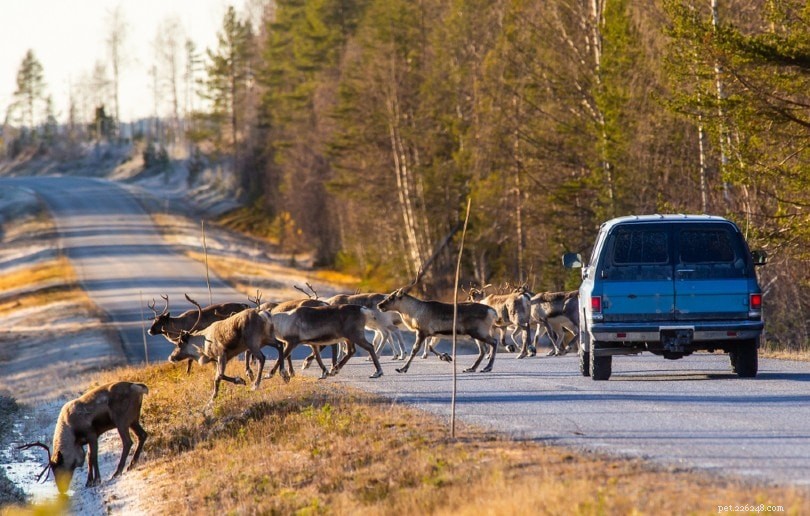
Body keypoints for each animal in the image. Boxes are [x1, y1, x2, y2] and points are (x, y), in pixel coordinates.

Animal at [19, 381, 148, 494]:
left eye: (59, 469)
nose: (61, 490)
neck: (71, 431)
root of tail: (138, 387)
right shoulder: (83, 442)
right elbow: (88, 458)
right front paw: (89, 482)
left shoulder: (92, 435)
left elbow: (93, 457)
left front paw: (96, 480)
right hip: (133, 420)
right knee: (142, 435)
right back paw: (131, 465)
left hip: (121, 421)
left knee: (127, 442)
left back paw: (117, 472)